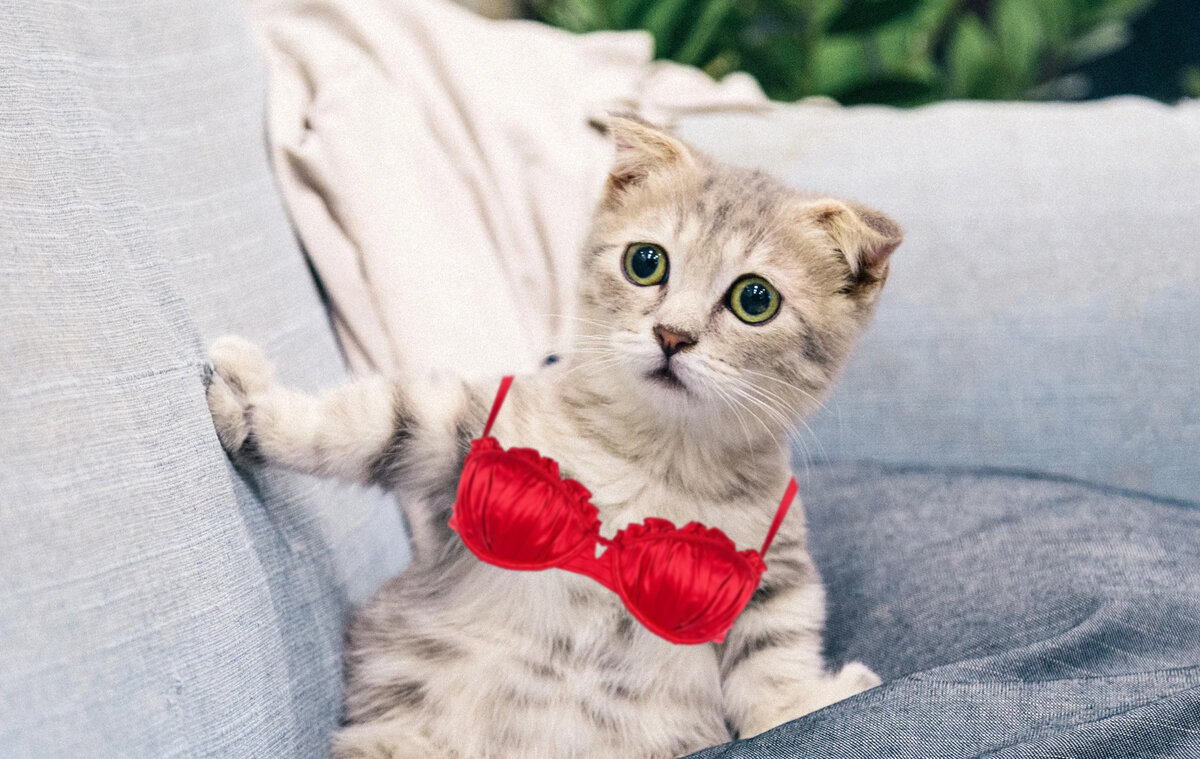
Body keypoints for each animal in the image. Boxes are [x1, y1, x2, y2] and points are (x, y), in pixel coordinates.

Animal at [206, 116, 902, 759]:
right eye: (646, 261)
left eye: (755, 299)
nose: (672, 335)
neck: (657, 458)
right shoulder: (467, 432)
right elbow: (371, 420)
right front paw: (248, 402)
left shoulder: (772, 573)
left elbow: (773, 665)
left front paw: (810, 700)